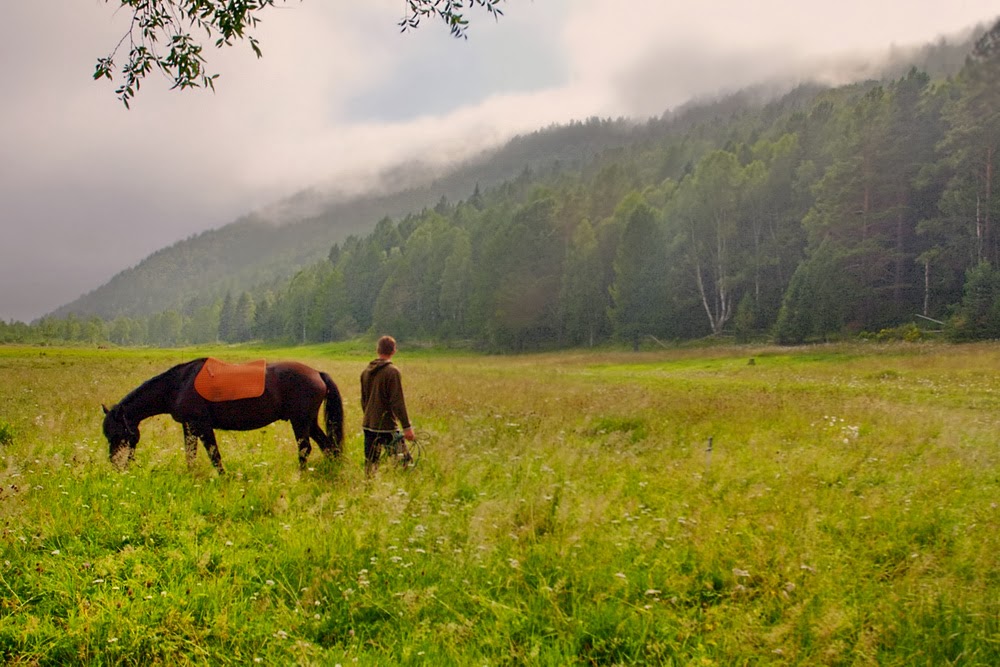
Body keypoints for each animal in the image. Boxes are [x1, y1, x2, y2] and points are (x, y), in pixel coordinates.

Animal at [101, 358, 344, 472]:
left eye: (118, 434)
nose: (115, 464)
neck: (178, 385)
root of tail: (317, 373)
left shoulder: (201, 425)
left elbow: (213, 455)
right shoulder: (189, 427)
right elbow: (192, 455)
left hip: (300, 422)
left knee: (305, 449)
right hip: (308, 421)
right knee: (328, 446)